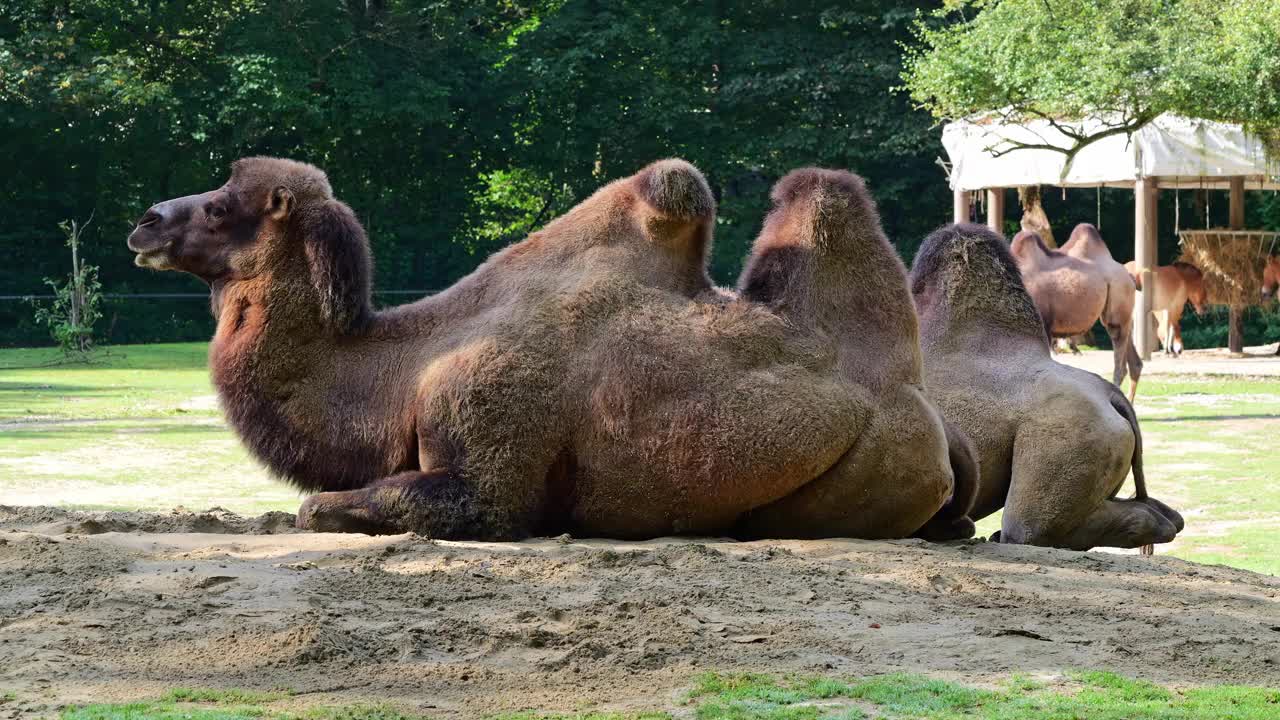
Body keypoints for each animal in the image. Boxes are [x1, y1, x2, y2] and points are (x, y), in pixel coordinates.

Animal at [129, 156, 972, 538]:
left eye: (224, 206)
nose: (147, 221)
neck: (400, 370)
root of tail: (920, 409)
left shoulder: (484, 443)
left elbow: (319, 506)